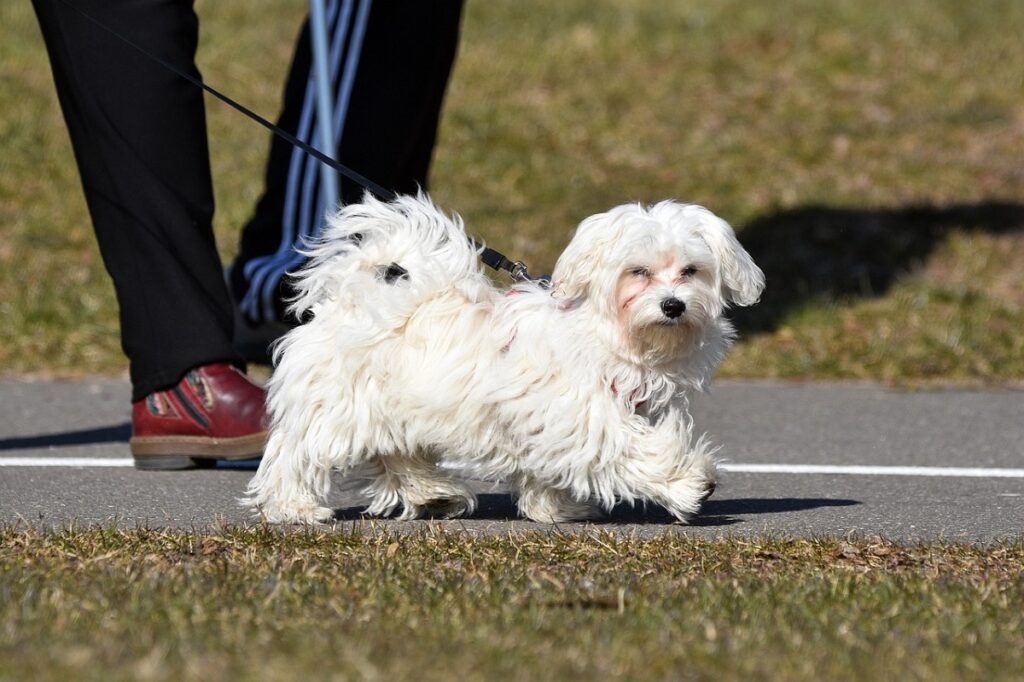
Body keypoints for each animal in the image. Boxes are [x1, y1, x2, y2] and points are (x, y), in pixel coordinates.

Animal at [243, 193, 765, 522]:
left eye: (691, 271)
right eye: (638, 272)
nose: (673, 305)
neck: (609, 332)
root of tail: (349, 296)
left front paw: (554, 508)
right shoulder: (584, 415)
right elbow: (629, 448)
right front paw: (690, 482)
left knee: (397, 455)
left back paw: (434, 495)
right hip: (335, 408)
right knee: (295, 453)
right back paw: (293, 508)